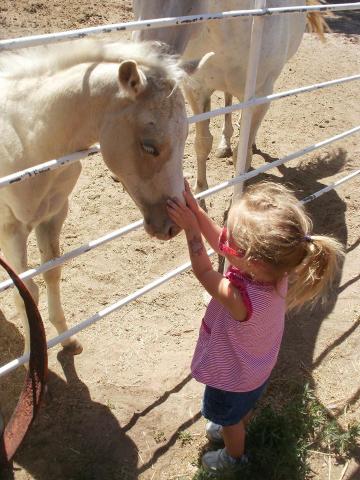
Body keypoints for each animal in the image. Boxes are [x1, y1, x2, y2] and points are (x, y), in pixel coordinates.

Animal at [0, 38, 190, 352]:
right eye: (149, 146)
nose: (172, 226)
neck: (29, 139)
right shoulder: (10, 230)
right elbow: (25, 293)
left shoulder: (53, 214)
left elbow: (52, 272)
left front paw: (67, 340)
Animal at [134, 1, 324, 193]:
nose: (139, 76)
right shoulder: (196, 89)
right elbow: (202, 144)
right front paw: (201, 192)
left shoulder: (261, 95)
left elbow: (242, 153)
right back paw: (225, 144)